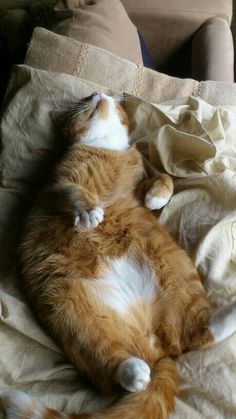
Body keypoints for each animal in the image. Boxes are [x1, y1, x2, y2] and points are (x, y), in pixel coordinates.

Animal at [0, 93, 235, 418]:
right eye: (86, 99)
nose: (96, 94)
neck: (105, 147)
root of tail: (155, 347)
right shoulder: (55, 187)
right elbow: (74, 192)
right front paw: (89, 212)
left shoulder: (143, 184)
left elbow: (164, 178)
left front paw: (156, 196)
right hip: (72, 314)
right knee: (117, 362)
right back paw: (134, 371)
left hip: (178, 275)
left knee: (194, 336)